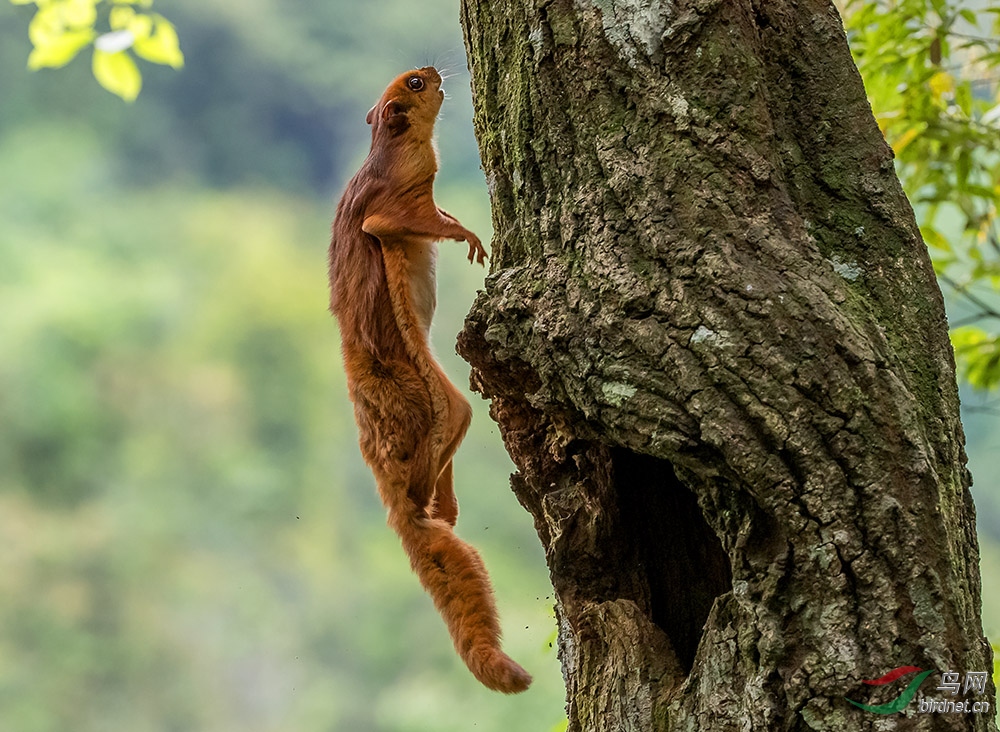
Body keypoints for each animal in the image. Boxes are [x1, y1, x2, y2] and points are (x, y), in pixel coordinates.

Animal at [328, 67, 532, 692]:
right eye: (415, 84)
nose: (438, 71)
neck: (388, 150)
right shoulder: (395, 205)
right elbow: (412, 223)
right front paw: (470, 237)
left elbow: (439, 219)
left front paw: (464, 232)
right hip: (448, 404)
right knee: (429, 470)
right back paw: (429, 501)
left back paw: (447, 505)